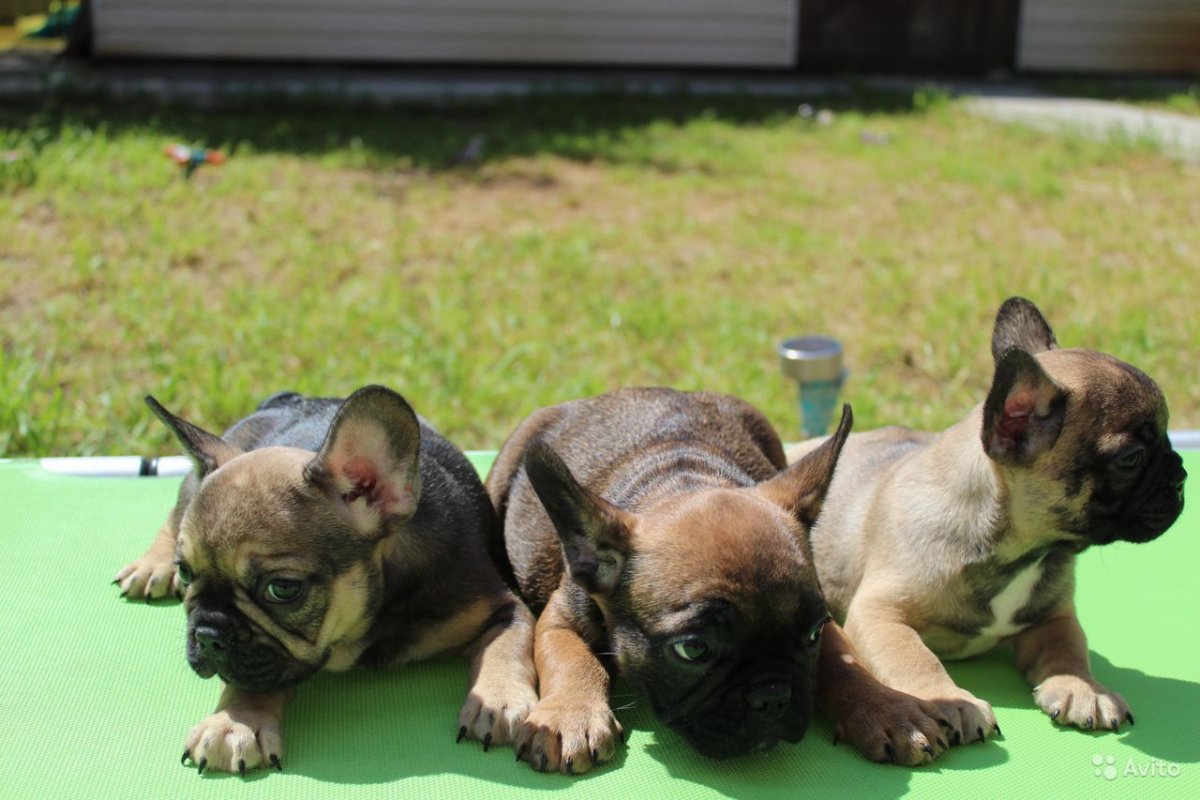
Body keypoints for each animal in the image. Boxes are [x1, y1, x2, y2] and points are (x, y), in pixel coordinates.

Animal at [112, 388, 535, 777]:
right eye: (186, 572)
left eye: (282, 589)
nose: (207, 634)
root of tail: (291, 399)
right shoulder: (261, 659)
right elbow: (251, 677)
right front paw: (236, 723)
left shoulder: (501, 607)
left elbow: (506, 647)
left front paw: (498, 699)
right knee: (173, 514)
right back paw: (151, 565)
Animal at [487, 388, 955, 777]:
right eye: (694, 650)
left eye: (812, 634)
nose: (772, 695)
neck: (678, 481)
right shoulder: (560, 619)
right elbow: (571, 660)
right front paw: (571, 714)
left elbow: (845, 662)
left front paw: (888, 710)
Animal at [787, 297, 1190, 753]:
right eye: (1130, 459)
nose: (1181, 475)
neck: (1023, 549)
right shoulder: (881, 614)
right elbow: (914, 657)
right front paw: (951, 700)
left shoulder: (1053, 616)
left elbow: (1070, 648)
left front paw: (1084, 688)